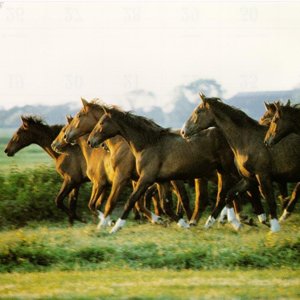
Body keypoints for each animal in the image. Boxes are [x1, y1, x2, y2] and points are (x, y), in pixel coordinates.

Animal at [86, 105, 262, 234]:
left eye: (101, 123)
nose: (90, 141)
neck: (148, 144)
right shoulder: (162, 181)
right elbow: (166, 206)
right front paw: (183, 224)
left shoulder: (145, 179)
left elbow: (131, 200)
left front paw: (115, 227)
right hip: (221, 171)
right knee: (227, 193)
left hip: (230, 169)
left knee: (245, 188)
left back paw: (253, 219)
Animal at [180, 94, 300, 232]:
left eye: (198, 111)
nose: (183, 132)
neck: (246, 140)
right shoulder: (249, 178)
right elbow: (230, 195)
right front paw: (211, 223)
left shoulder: (263, 176)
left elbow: (269, 199)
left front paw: (274, 227)